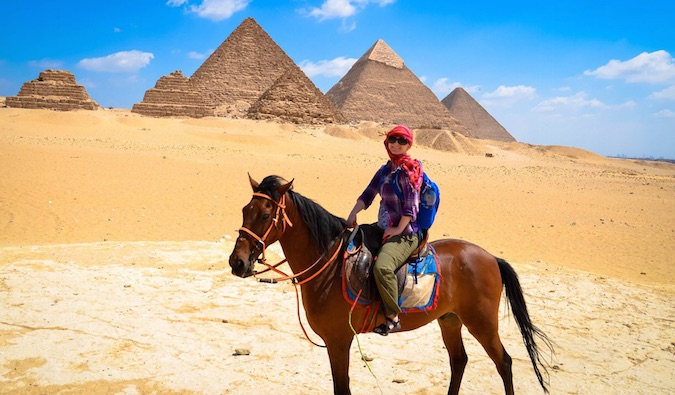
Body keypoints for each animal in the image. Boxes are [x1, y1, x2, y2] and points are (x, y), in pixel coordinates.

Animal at [230, 176, 552, 395]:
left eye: (266, 215)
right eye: (245, 210)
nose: (237, 262)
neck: (330, 266)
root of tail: (491, 257)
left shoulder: (339, 340)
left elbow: (342, 389)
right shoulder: (336, 343)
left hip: (482, 322)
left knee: (504, 363)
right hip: (450, 320)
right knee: (459, 361)